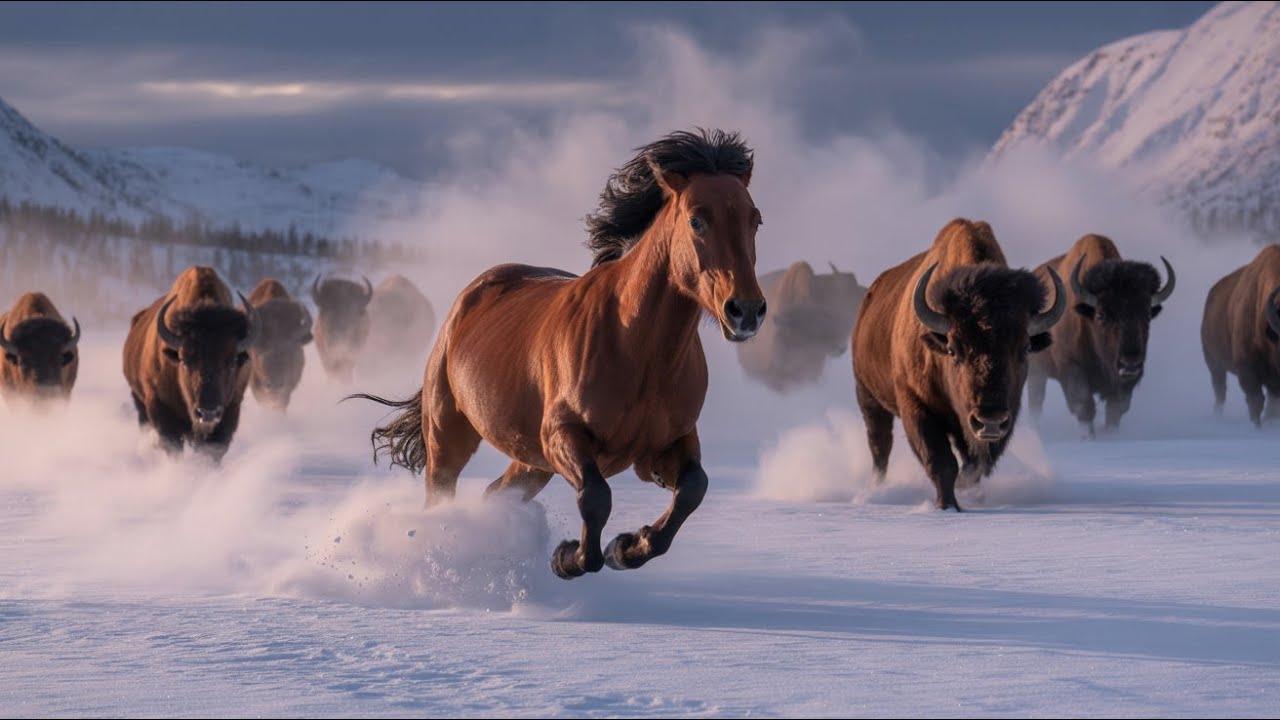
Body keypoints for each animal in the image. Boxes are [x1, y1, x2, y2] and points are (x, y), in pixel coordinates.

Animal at [123, 266, 258, 460]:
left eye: (233, 361)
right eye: (184, 361)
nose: (207, 413)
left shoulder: (230, 412)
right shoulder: (160, 409)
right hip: (138, 399)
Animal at [852, 218, 1065, 511]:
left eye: (1024, 349)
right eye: (953, 350)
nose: (989, 421)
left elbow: (973, 465)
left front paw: (967, 494)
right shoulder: (915, 403)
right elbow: (941, 461)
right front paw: (947, 506)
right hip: (868, 397)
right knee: (880, 445)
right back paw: (877, 488)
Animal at [1027, 234, 1175, 437]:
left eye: (1147, 315)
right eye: (1101, 315)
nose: (1130, 364)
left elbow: (1115, 410)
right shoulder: (1072, 368)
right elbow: (1084, 407)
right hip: (1036, 372)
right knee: (1036, 403)